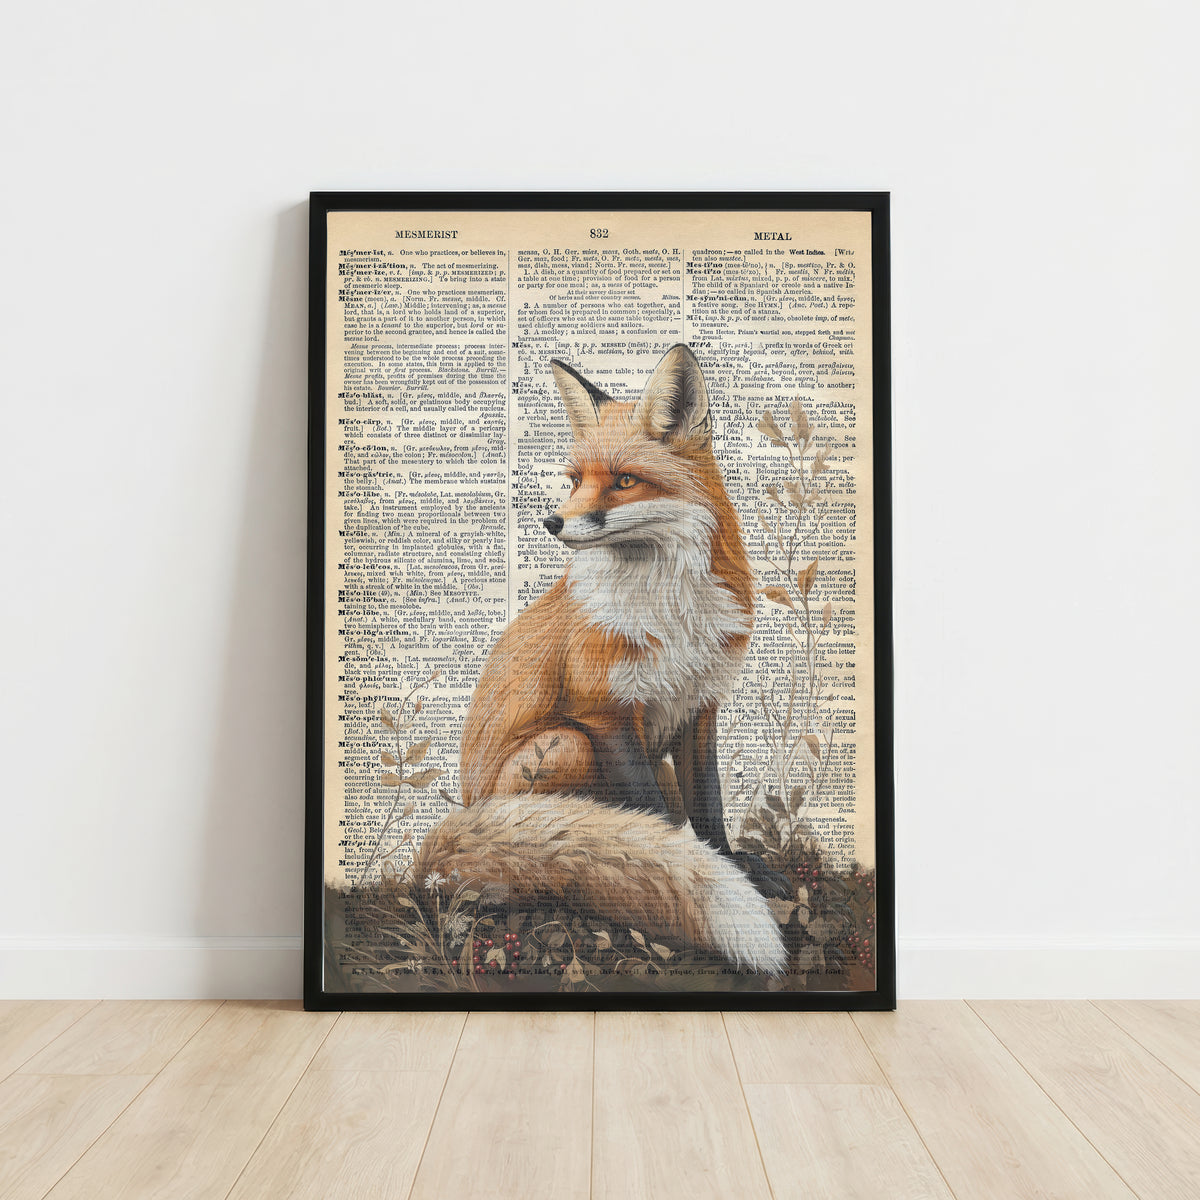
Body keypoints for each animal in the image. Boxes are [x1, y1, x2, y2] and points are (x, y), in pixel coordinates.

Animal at [413, 345, 787, 973]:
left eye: (624, 481)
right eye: (574, 481)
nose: (552, 521)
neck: (670, 611)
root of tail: (467, 808)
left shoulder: (700, 707)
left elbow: (709, 806)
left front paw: (730, 863)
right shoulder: (603, 713)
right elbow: (652, 820)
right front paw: (677, 868)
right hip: (567, 744)